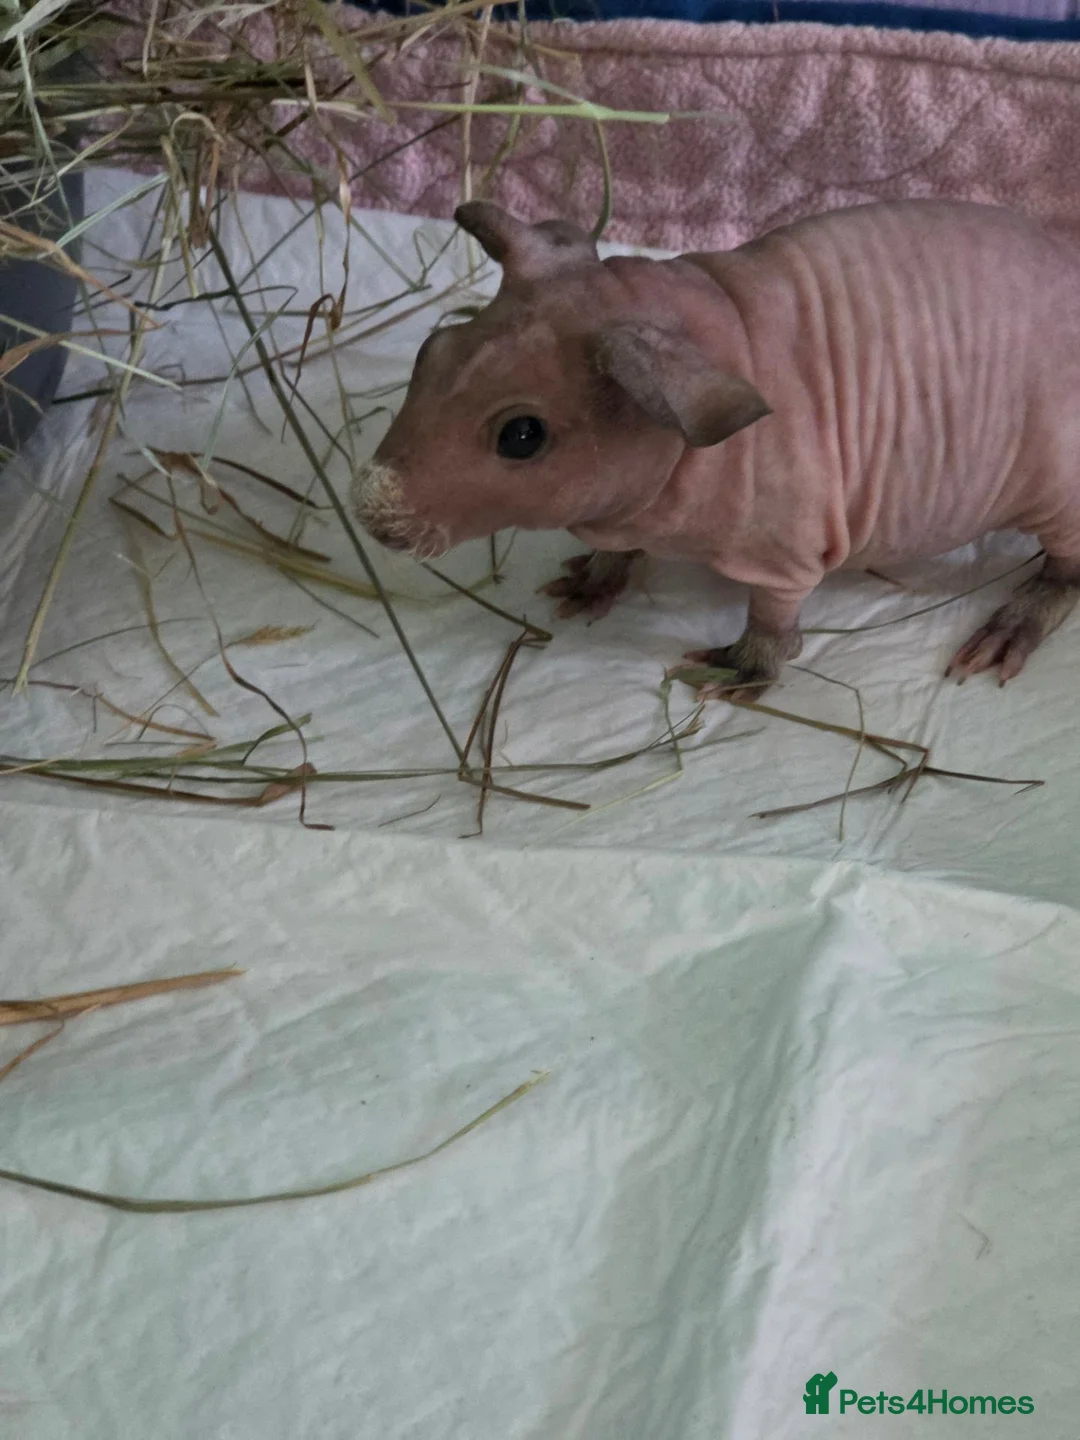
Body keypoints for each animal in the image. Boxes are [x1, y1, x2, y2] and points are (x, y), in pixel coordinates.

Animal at [349, 198, 1080, 699]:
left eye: (521, 435)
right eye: (431, 350)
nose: (371, 511)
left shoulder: (789, 547)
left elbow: (774, 618)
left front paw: (739, 671)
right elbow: (616, 549)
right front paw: (590, 580)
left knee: (1066, 573)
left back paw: (1012, 625)